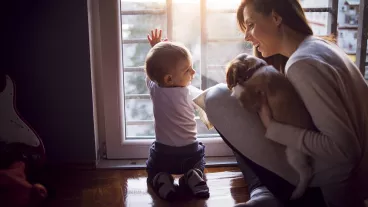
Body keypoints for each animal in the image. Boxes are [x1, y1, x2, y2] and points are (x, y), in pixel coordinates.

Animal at [226, 53, 314, 201]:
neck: (255, 69)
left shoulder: (252, 100)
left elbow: (240, 89)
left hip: (294, 154)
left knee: (306, 173)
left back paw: (297, 193)